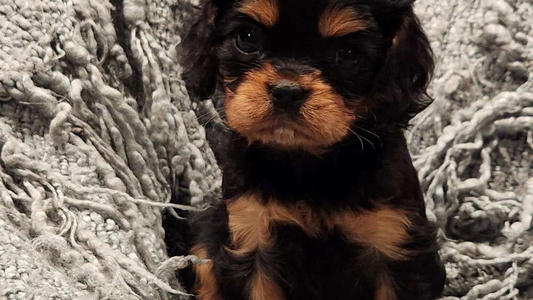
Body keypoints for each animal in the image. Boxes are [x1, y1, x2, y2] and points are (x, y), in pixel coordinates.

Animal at [178, 0, 444, 298]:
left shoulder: (394, 242)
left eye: (348, 54)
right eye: (246, 38)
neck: (307, 162)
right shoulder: (252, 236)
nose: (287, 91)